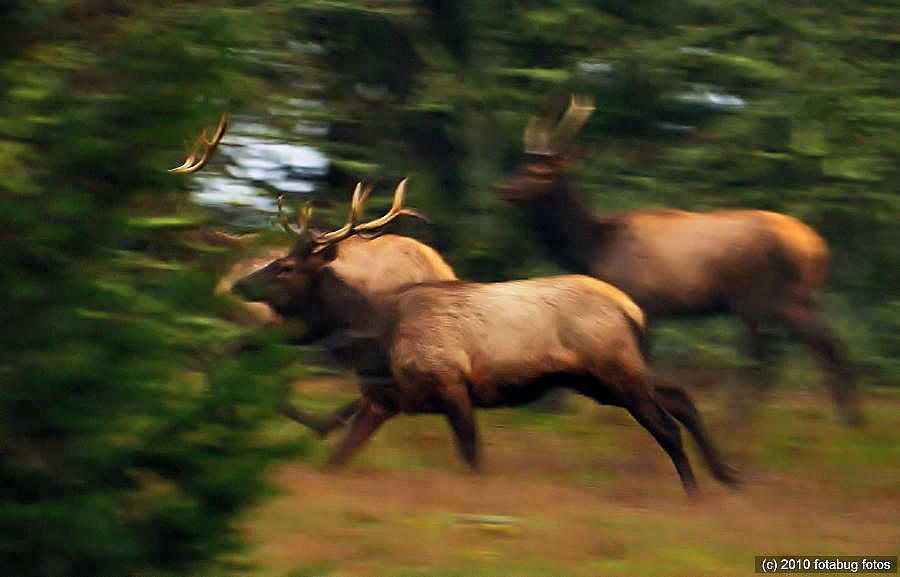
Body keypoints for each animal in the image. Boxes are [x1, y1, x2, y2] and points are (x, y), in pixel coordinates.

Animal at [496, 97, 860, 426]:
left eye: (544, 172)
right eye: (522, 164)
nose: (505, 188)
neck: (593, 246)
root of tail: (816, 247)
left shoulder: (640, 300)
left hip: (759, 296)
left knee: (767, 354)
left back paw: (742, 415)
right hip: (796, 298)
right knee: (826, 343)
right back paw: (849, 418)